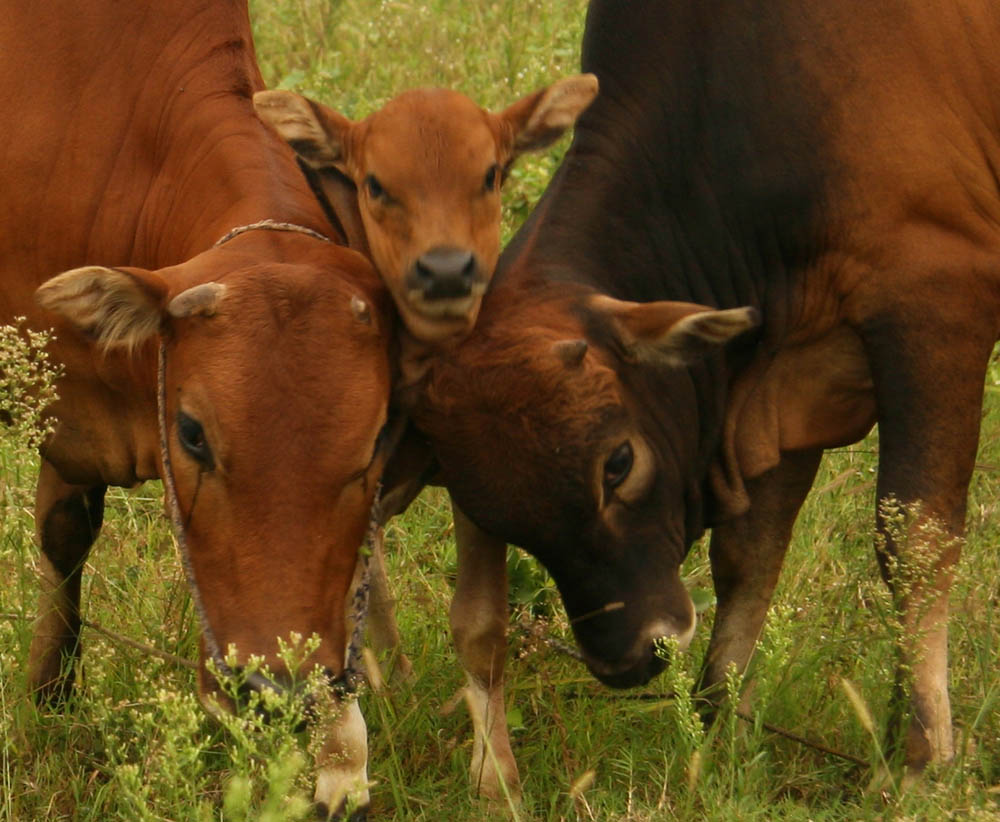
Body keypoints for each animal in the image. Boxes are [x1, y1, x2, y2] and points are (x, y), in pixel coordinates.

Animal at [406, 0, 1000, 784]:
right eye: (491, 513)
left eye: (619, 463)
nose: (628, 658)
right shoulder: (780, 381)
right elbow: (749, 552)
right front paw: (720, 723)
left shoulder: (936, 301)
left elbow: (914, 538)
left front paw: (919, 756)